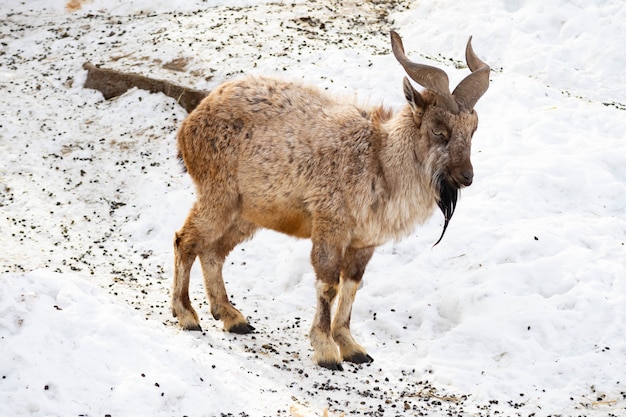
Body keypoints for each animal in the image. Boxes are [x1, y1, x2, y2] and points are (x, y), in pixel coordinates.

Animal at [171, 32, 488, 368]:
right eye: (438, 130)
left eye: (473, 130)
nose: (466, 176)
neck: (379, 162)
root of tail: (190, 124)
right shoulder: (330, 225)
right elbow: (328, 284)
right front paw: (325, 350)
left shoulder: (364, 242)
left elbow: (352, 285)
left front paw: (351, 347)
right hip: (219, 196)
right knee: (186, 240)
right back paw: (187, 315)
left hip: (247, 213)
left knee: (213, 251)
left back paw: (232, 318)